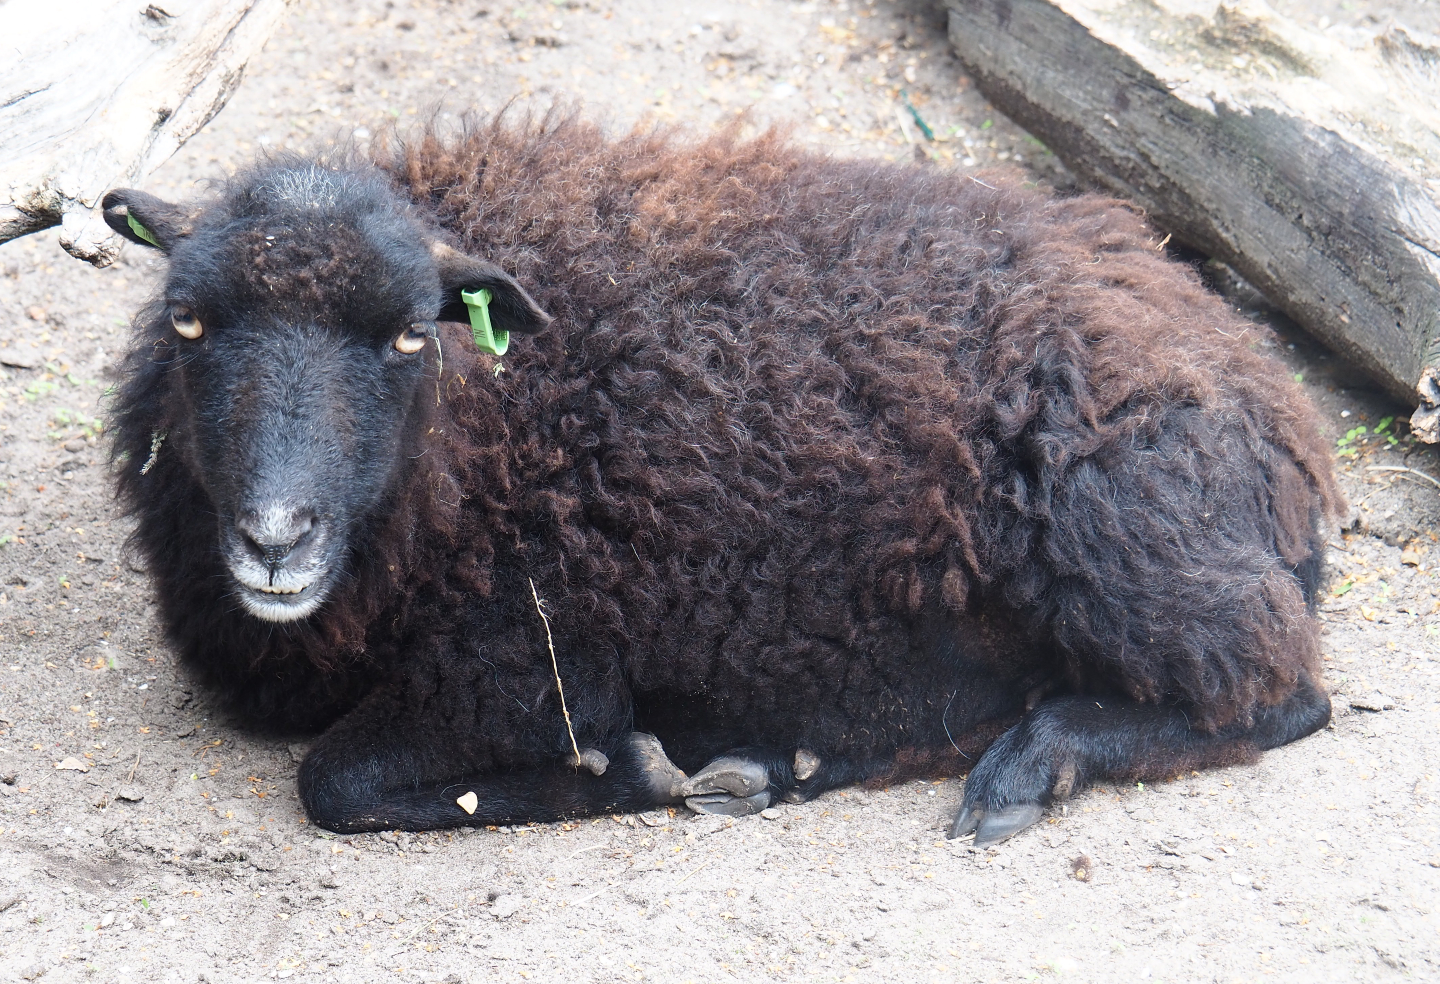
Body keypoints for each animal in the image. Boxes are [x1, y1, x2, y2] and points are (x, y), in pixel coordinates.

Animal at [102, 113, 1340, 844]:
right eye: (188, 318)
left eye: (411, 334)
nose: (275, 538)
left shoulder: (527, 662)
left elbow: (336, 784)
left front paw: (638, 773)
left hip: (1127, 554)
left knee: (1281, 694)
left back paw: (1032, 766)